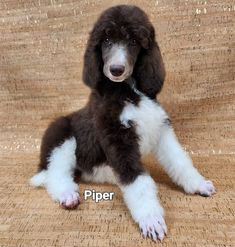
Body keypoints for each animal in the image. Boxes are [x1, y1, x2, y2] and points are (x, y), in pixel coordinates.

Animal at [30, 4, 216, 242]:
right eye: (107, 41)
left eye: (134, 42)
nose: (116, 69)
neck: (128, 91)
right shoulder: (118, 138)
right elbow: (138, 181)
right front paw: (151, 219)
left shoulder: (160, 130)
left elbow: (180, 160)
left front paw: (198, 184)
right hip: (62, 137)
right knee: (56, 174)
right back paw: (68, 194)